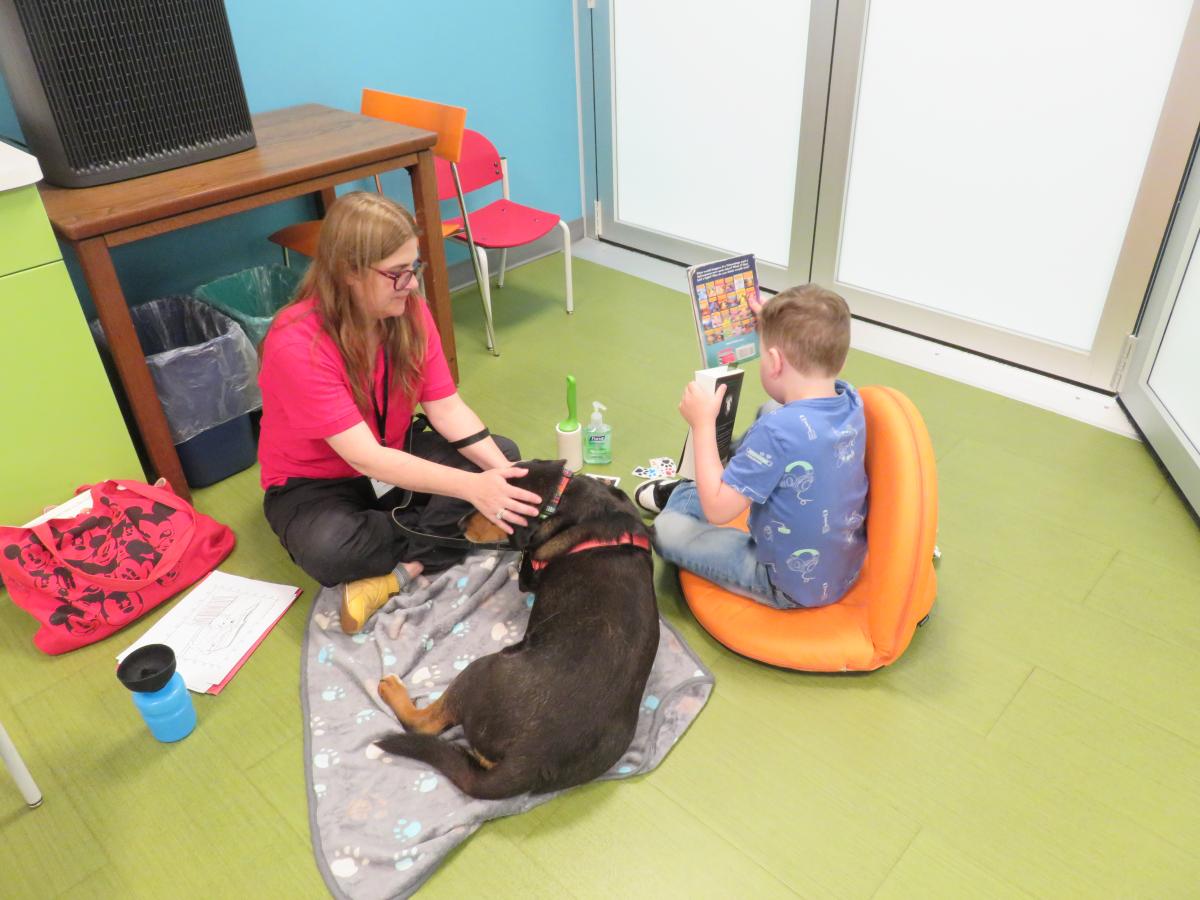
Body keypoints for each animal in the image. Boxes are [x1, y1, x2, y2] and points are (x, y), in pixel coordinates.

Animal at [374, 460, 657, 801]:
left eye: (497, 512)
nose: (460, 523)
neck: (562, 498)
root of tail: (530, 760)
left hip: (480, 670)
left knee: (423, 723)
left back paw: (393, 689)